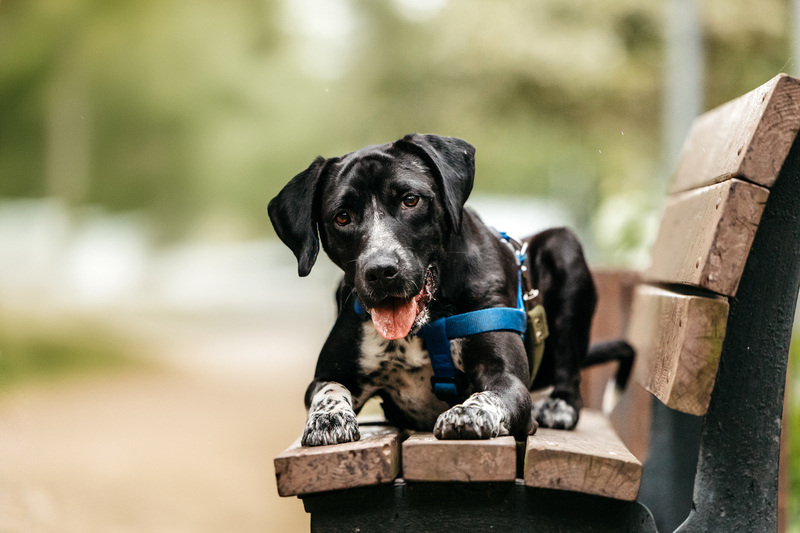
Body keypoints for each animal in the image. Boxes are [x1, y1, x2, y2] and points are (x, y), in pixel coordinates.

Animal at [268, 133, 620, 444]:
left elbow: (489, 395)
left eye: (410, 200)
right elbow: (329, 389)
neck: (422, 327)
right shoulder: (328, 374)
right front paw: (328, 418)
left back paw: (560, 405)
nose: (381, 271)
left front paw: (468, 413)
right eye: (342, 217)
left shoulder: (508, 380)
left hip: (564, 247)